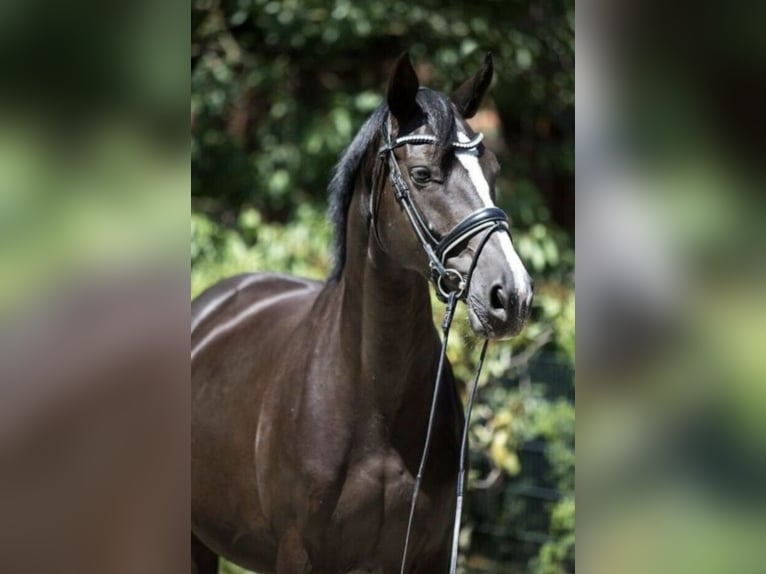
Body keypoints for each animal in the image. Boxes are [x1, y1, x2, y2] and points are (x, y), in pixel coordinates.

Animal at [191, 52, 533, 574]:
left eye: (492, 171)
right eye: (422, 175)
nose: (511, 294)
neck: (371, 397)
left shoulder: (429, 555)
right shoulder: (299, 555)